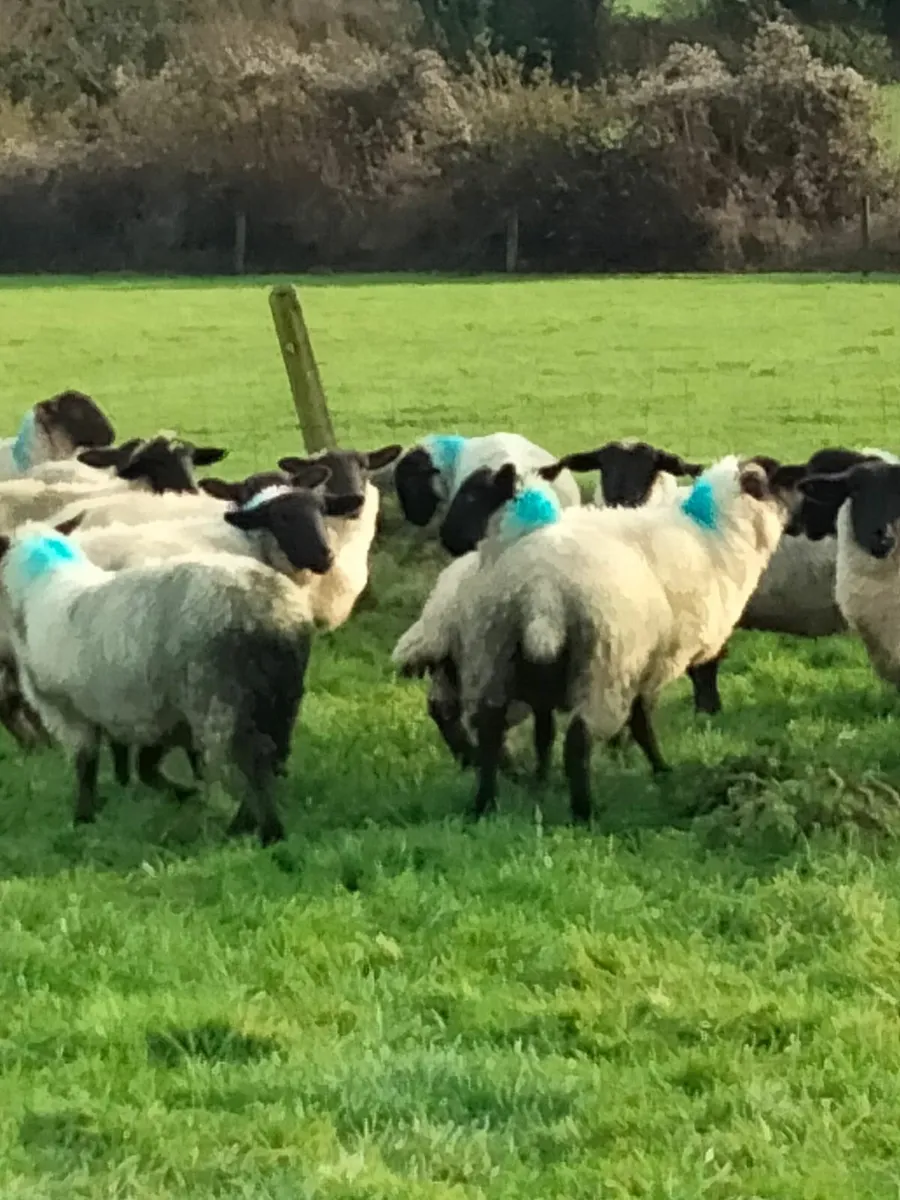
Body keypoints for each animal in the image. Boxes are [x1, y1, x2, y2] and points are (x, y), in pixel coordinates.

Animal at [0, 516, 341, 845]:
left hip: (221, 698)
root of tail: (274, 609)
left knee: (251, 759)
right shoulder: (158, 714)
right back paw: (244, 825)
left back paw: (266, 832)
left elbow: (87, 767)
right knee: (272, 758)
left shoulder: (70, 713)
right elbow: (142, 766)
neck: (41, 587)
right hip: (279, 698)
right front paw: (182, 793)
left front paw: (83, 817)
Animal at [450, 456, 802, 823]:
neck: (717, 537)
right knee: (578, 739)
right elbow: (641, 722)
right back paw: (584, 812)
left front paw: (541, 782)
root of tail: (541, 591)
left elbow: (544, 732)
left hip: (493, 652)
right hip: (603, 665)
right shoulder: (653, 661)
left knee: (490, 729)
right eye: (780, 480)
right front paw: (659, 769)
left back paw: (484, 805)